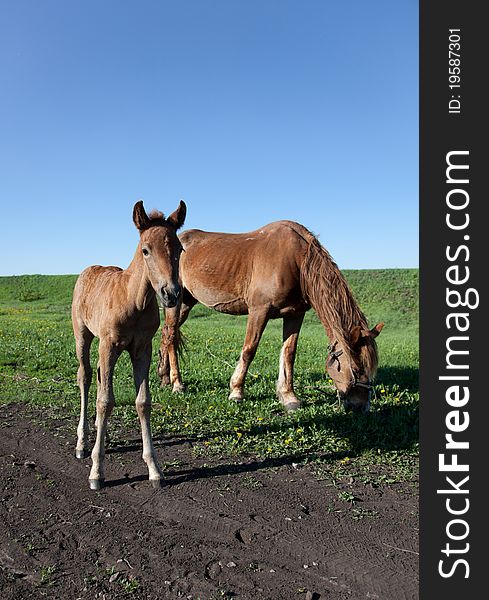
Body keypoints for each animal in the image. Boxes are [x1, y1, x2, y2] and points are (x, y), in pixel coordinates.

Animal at [71, 199, 186, 490]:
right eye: (146, 250)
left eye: (179, 249)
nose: (171, 294)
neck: (134, 300)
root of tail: (88, 270)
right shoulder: (109, 345)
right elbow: (104, 401)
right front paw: (96, 471)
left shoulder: (142, 348)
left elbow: (143, 402)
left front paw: (155, 469)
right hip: (83, 336)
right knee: (85, 376)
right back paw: (82, 443)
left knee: (99, 377)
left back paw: (102, 434)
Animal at [156, 219, 382, 412]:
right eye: (356, 368)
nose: (362, 407)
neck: (296, 260)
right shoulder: (259, 310)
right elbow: (249, 350)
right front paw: (236, 391)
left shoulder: (295, 314)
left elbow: (289, 353)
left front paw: (288, 396)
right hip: (175, 301)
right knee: (171, 336)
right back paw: (177, 384)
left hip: (186, 303)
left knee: (167, 334)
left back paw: (164, 377)